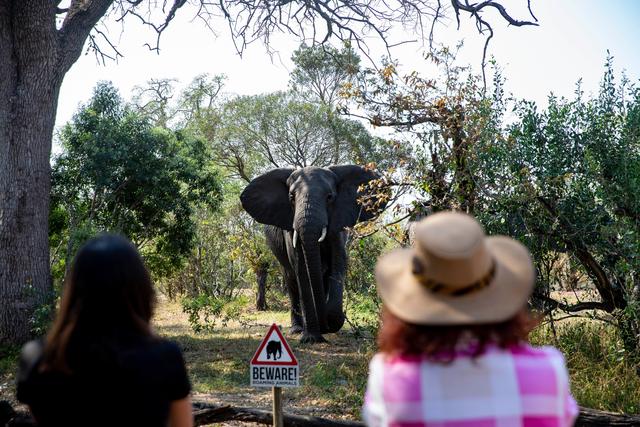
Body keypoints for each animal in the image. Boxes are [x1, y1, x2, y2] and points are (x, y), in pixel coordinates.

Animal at [241, 166, 384, 342]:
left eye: (329, 197)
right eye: (291, 197)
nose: (325, 327)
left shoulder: (338, 223)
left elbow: (339, 262)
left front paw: (331, 320)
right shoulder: (290, 229)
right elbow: (301, 268)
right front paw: (311, 338)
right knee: (291, 280)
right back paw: (297, 329)